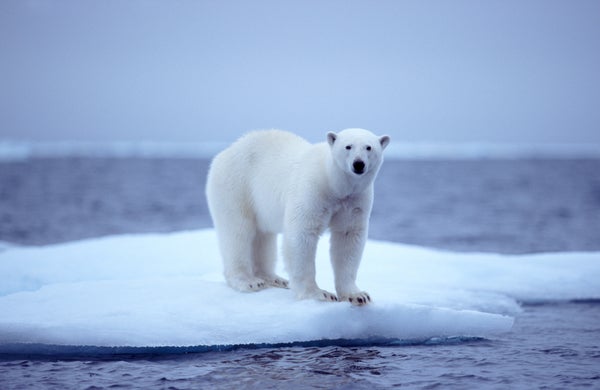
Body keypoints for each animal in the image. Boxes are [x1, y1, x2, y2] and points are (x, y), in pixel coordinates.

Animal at [206, 128, 392, 304]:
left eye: (369, 147)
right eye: (348, 146)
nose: (358, 164)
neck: (334, 183)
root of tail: (227, 151)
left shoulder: (354, 201)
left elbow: (348, 239)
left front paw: (357, 295)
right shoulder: (313, 190)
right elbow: (302, 235)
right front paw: (319, 294)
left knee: (263, 236)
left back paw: (274, 278)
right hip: (236, 187)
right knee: (238, 232)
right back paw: (248, 281)